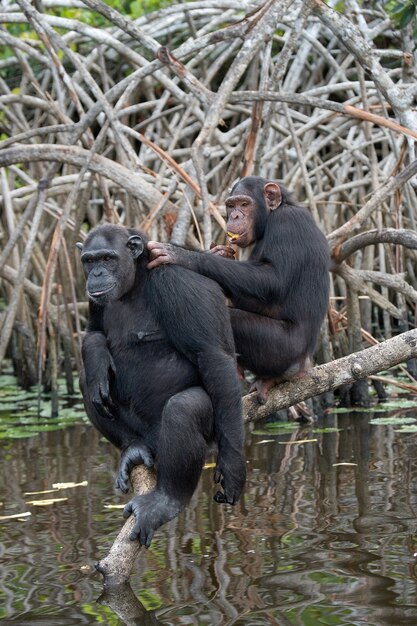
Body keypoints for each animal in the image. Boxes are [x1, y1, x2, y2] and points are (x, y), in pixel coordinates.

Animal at [77, 224, 245, 544]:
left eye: (108, 258)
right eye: (89, 261)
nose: (97, 273)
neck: (135, 283)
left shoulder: (176, 283)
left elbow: (213, 357)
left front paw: (232, 467)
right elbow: (92, 333)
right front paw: (98, 359)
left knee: (184, 408)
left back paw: (166, 502)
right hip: (141, 434)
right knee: (86, 384)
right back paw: (132, 447)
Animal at [148, 176, 330, 402]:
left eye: (244, 204)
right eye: (231, 205)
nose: (234, 215)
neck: (271, 217)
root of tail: (305, 364)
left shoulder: (288, 223)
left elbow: (272, 279)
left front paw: (183, 255)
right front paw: (220, 253)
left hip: (282, 351)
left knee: (234, 320)